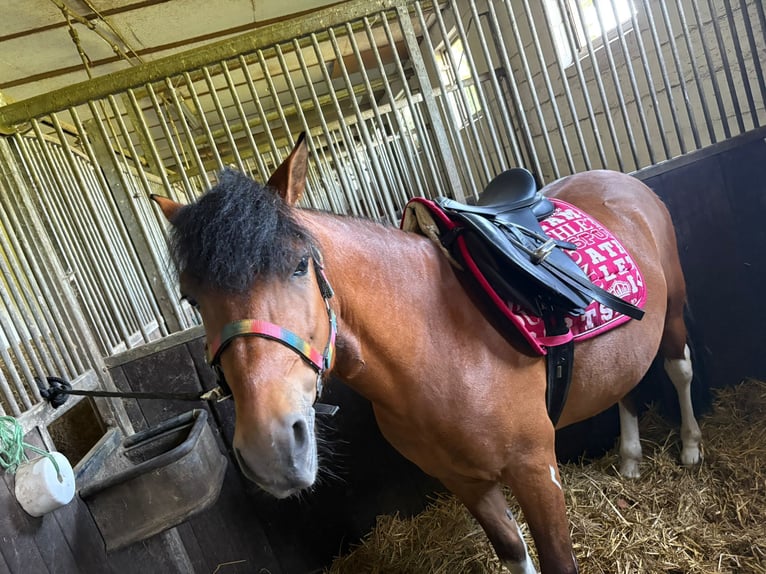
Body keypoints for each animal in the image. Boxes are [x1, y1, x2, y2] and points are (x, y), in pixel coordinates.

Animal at [151, 133, 702, 574]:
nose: (270, 447)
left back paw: (692, 449)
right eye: (191, 297)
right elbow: (514, 553)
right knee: (626, 386)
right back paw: (629, 459)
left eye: (299, 265)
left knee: (679, 369)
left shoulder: (535, 470)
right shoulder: (464, 482)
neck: (434, 346)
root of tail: (621, 181)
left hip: (674, 312)